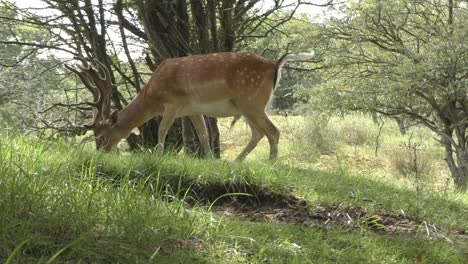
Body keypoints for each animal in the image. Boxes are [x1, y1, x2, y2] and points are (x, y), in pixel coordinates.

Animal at [66, 50, 314, 160]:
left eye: (101, 136)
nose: (100, 154)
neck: (152, 96)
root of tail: (275, 64)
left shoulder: (173, 103)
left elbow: (162, 130)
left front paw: (158, 156)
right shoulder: (193, 110)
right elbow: (203, 135)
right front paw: (209, 161)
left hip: (252, 102)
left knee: (273, 131)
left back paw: (272, 163)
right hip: (248, 107)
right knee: (259, 133)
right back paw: (236, 161)